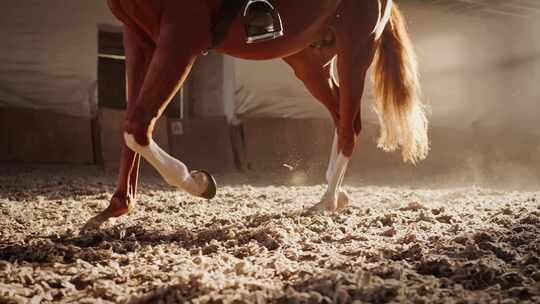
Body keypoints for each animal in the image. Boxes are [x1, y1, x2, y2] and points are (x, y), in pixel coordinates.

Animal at [82, 0, 430, 230]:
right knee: (346, 119)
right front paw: (116, 207)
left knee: (347, 126)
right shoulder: (138, 35)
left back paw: (328, 200)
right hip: (309, 58)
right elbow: (131, 119)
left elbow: (137, 124)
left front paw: (200, 183)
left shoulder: (181, 37)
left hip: (354, 45)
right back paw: (336, 193)